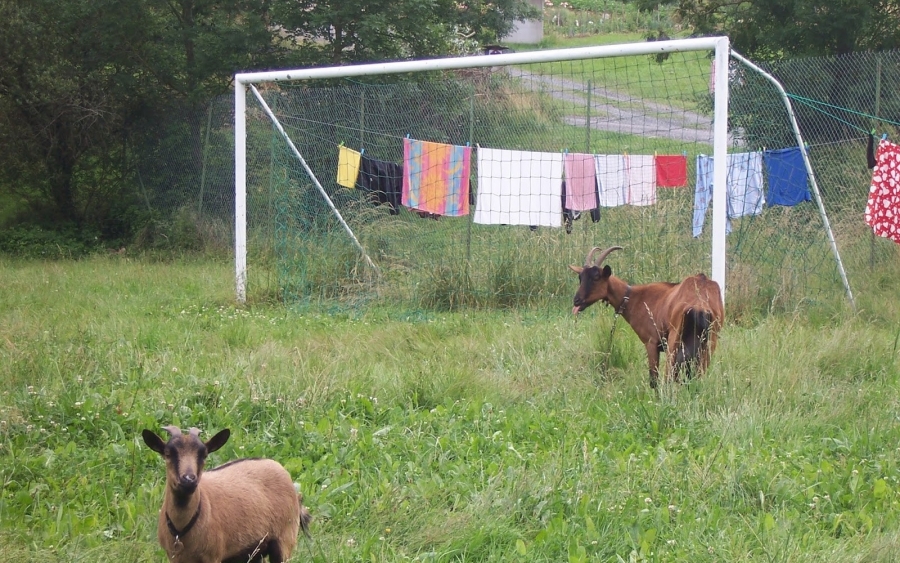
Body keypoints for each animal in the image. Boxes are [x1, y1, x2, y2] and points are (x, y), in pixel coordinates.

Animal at [141, 428, 310, 563]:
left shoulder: (213, 556)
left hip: (284, 540)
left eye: (204, 455)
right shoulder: (175, 557)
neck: (181, 531)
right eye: (168, 453)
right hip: (255, 550)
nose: (188, 480)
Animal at [568, 246, 724, 388]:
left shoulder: (651, 342)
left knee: (669, 378)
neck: (634, 298)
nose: (577, 301)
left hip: (674, 340)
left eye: (596, 277)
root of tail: (700, 303)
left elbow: (653, 380)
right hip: (709, 343)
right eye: (580, 277)